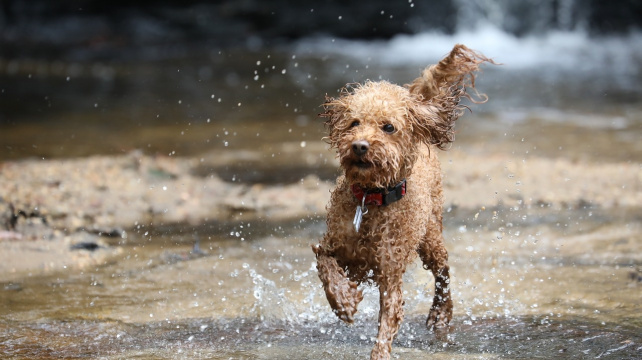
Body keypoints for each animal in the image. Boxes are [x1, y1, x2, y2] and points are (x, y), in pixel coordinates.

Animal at [312, 45, 490, 360]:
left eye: (388, 127)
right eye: (354, 122)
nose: (359, 146)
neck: (371, 199)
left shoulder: (390, 273)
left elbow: (388, 320)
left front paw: (380, 351)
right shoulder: (334, 245)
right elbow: (326, 266)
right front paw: (344, 301)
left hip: (430, 237)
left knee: (443, 271)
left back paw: (440, 314)